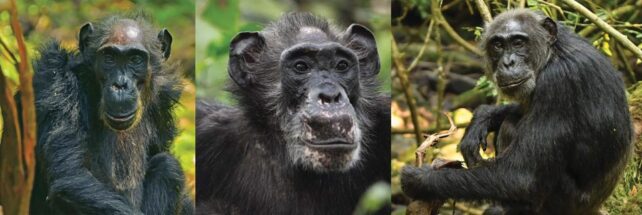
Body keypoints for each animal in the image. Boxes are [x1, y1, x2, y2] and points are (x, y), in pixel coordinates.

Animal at [28, 14, 192, 214]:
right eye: (109, 58)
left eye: (135, 59)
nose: (120, 85)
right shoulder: (55, 79)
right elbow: (70, 175)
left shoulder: (162, 99)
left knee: (167, 166)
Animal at [400, 8, 632, 215]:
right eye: (498, 45)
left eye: (519, 42)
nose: (508, 62)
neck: (552, 55)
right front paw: (481, 119)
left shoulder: (559, 83)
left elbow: (521, 176)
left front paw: (420, 179)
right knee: (511, 121)